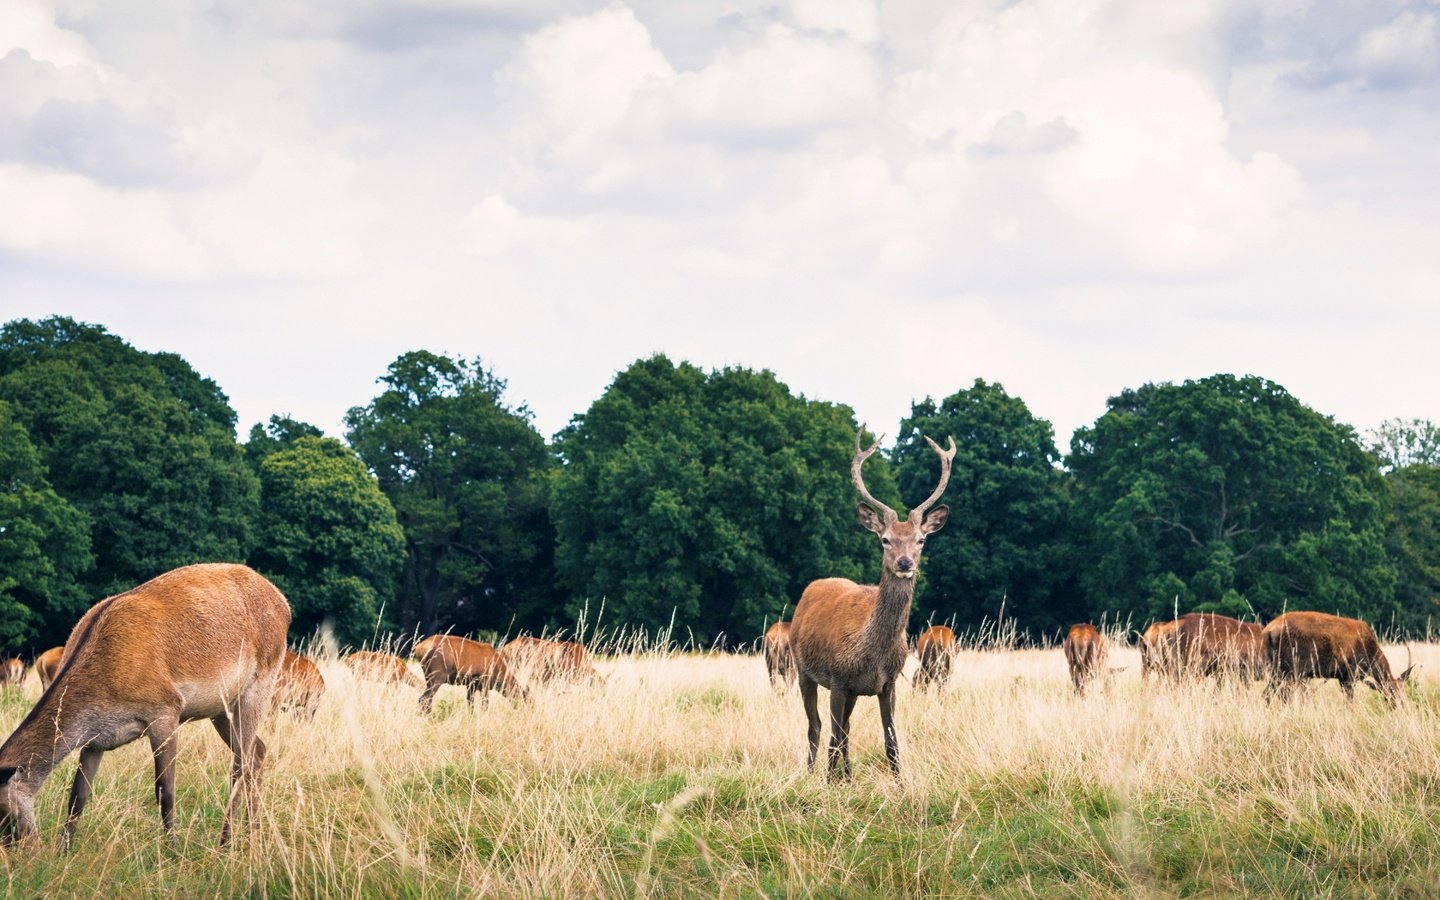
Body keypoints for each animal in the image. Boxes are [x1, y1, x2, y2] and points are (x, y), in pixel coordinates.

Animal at [0, 564, 289, 846]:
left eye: (4, 817)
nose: (26, 850)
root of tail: (284, 604)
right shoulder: (95, 741)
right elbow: (77, 797)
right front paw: (64, 851)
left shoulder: (166, 710)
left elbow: (165, 791)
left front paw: (173, 851)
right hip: (221, 708)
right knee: (257, 752)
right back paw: (253, 834)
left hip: (259, 686)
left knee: (240, 767)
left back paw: (225, 844)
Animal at [789, 423, 956, 777]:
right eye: (885, 540)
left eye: (921, 539)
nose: (905, 563)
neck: (871, 656)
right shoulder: (838, 679)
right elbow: (833, 737)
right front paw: (829, 783)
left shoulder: (888, 684)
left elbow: (891, 741)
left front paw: (899, 782)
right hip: (803, 670)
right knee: (817, 727)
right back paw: (811, 773)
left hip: (850, 691)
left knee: (845, 731)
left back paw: (848, 774)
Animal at [1267, 607, 1411, 705]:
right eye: (1391, 693)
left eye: (1403, 693)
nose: (1401, 706)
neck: (1371, 656)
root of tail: (1269, 630)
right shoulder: (1351, 673)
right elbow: (1349, 701)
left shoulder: (1341, 676)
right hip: (1293, 668)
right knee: (1283, 694)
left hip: (1278, 669)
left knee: (1269, 693)